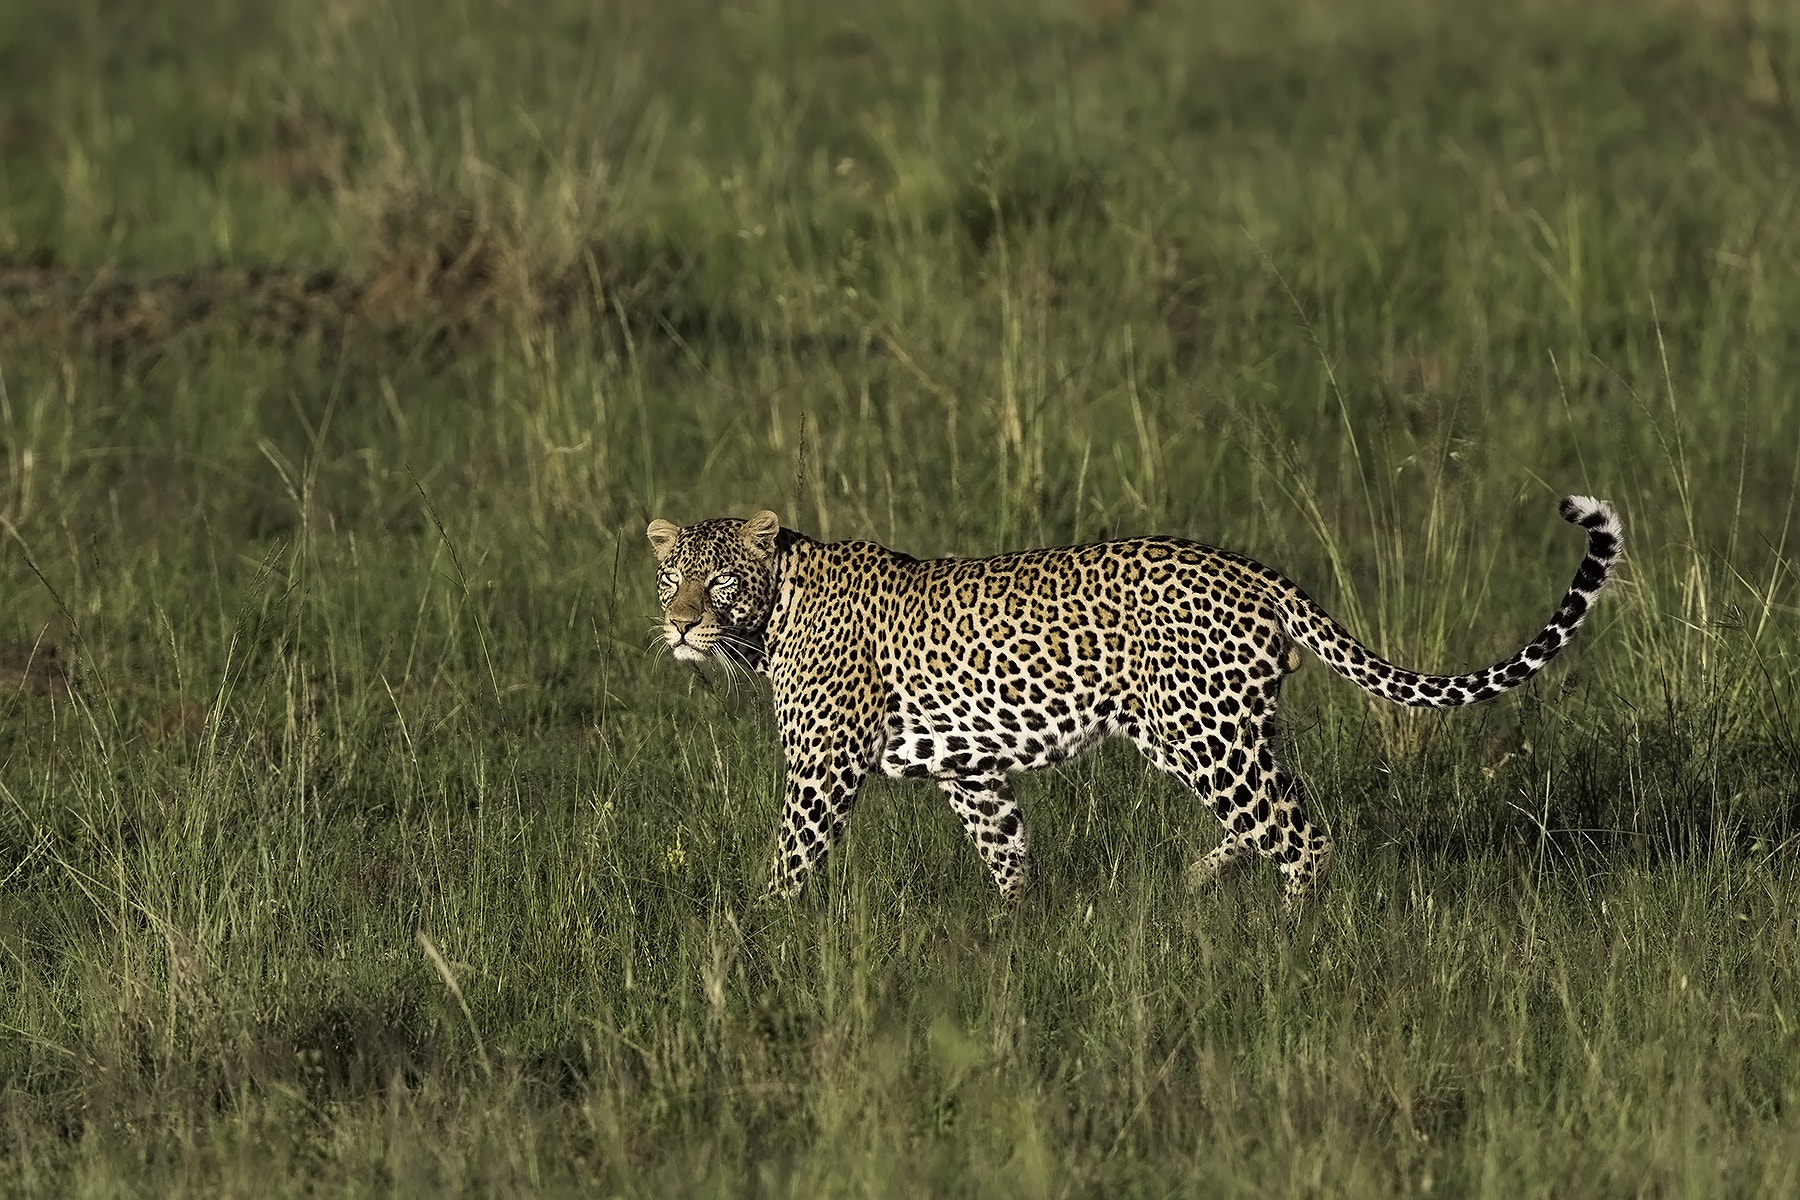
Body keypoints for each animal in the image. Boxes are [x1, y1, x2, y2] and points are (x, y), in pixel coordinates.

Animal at [651, 492, 1634, 906]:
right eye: (670, 577)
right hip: (1215, 727)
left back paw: (1293, 939)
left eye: (718, 580)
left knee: (1303, 836)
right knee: (1285, 810)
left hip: (1203, 733)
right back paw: (1200, 877)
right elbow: (1005, 852)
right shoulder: (972, 772)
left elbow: (791, 860)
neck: (771, 615)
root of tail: (1256, 572)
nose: (678, 625)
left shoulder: (824, 766)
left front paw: (758, 933)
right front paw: (1019, 931)